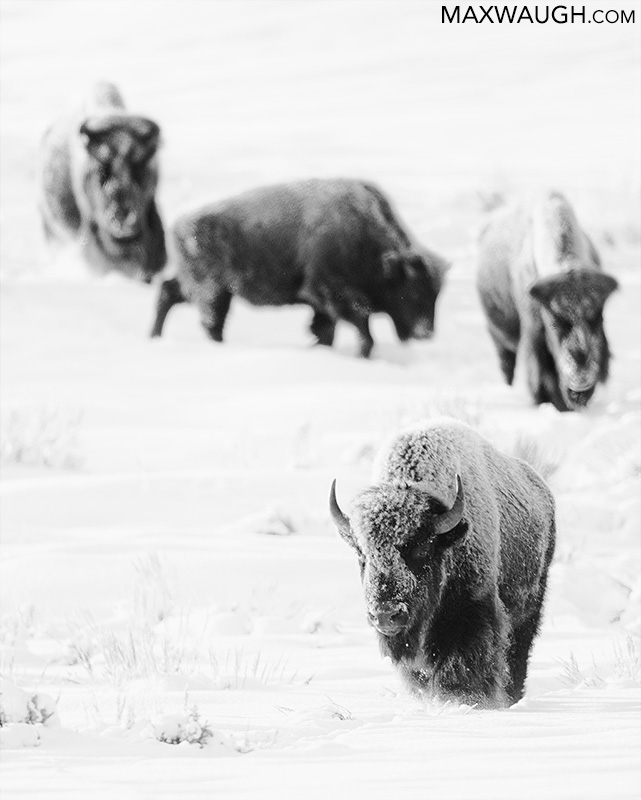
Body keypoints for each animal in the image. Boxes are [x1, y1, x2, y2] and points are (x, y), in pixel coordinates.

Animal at [150, 179, 449, 357]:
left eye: (435, 295)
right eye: (412, 291)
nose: (426, 334)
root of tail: (180, 225)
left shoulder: (322, 302)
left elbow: (326, 330)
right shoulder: (332, 292)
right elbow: (362, 331)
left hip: (206, 288)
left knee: (169, 293)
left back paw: (155, 336)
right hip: (212, 291)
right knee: (209, 320)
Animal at [476, 191, 618, 411]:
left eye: (599, 318)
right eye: (554, 322)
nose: (581, 380)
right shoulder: (534, 334)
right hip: (499, 335)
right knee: (507, 363)